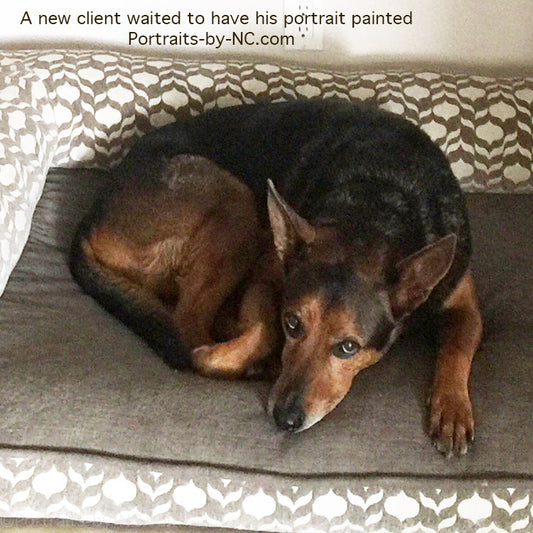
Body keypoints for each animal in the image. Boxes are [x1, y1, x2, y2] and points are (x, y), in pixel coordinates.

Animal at [69, 100, 482, 458]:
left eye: (349, 347)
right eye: (293, 324)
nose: (285, 420)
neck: (378, 210)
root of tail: (88, 221)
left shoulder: (463, 303)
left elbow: (458, 347)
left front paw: (452, 408)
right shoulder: (268, 268)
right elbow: (263, 327)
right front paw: (254, 354)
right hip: (234, 205)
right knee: (187, 324)